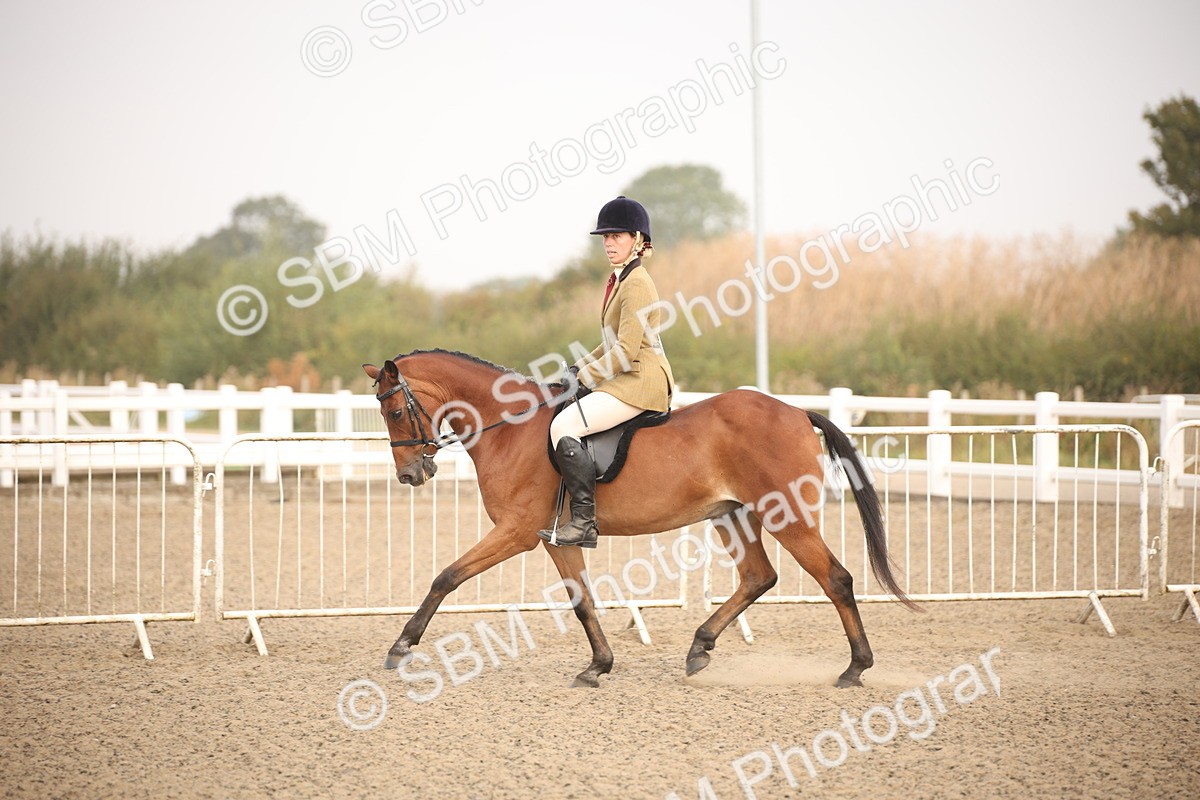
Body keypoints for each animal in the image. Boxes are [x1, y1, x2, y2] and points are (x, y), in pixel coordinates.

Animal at [362, 349, 918, 689]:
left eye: (395, 412)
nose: (411, 475)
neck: (511, 429)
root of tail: (797, 412)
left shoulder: (516, 532)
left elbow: (446, 576)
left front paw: (401, 646)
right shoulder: (557, 539)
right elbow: (583, 603)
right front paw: (598, 666)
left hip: (789, 517)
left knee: (836, 579)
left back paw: (855, 668)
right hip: (734, 517)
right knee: (759, 576)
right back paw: (699, 648)